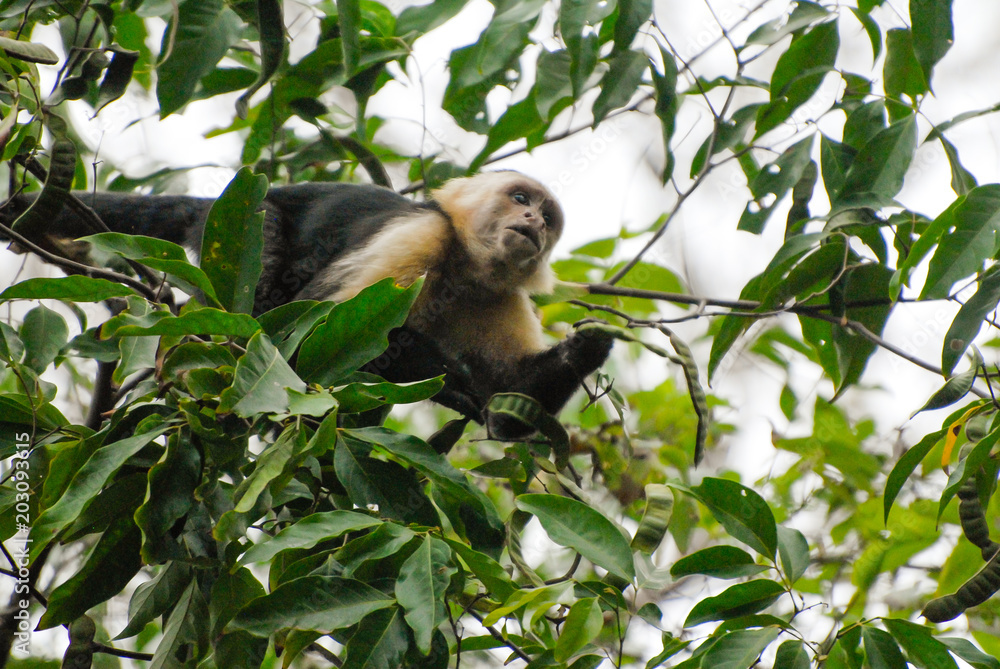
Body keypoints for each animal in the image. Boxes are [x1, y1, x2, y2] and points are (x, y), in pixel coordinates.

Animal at [1, 171, 614, 436]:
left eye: (547, 217)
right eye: (519, 198)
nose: (534, 221)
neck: (465, 268)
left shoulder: (499, 295)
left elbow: (511, 400)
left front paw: (587, 349)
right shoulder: (421, 238)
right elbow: (323, 331)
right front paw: (446, 377)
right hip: (236, 223)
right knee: (266, 285)